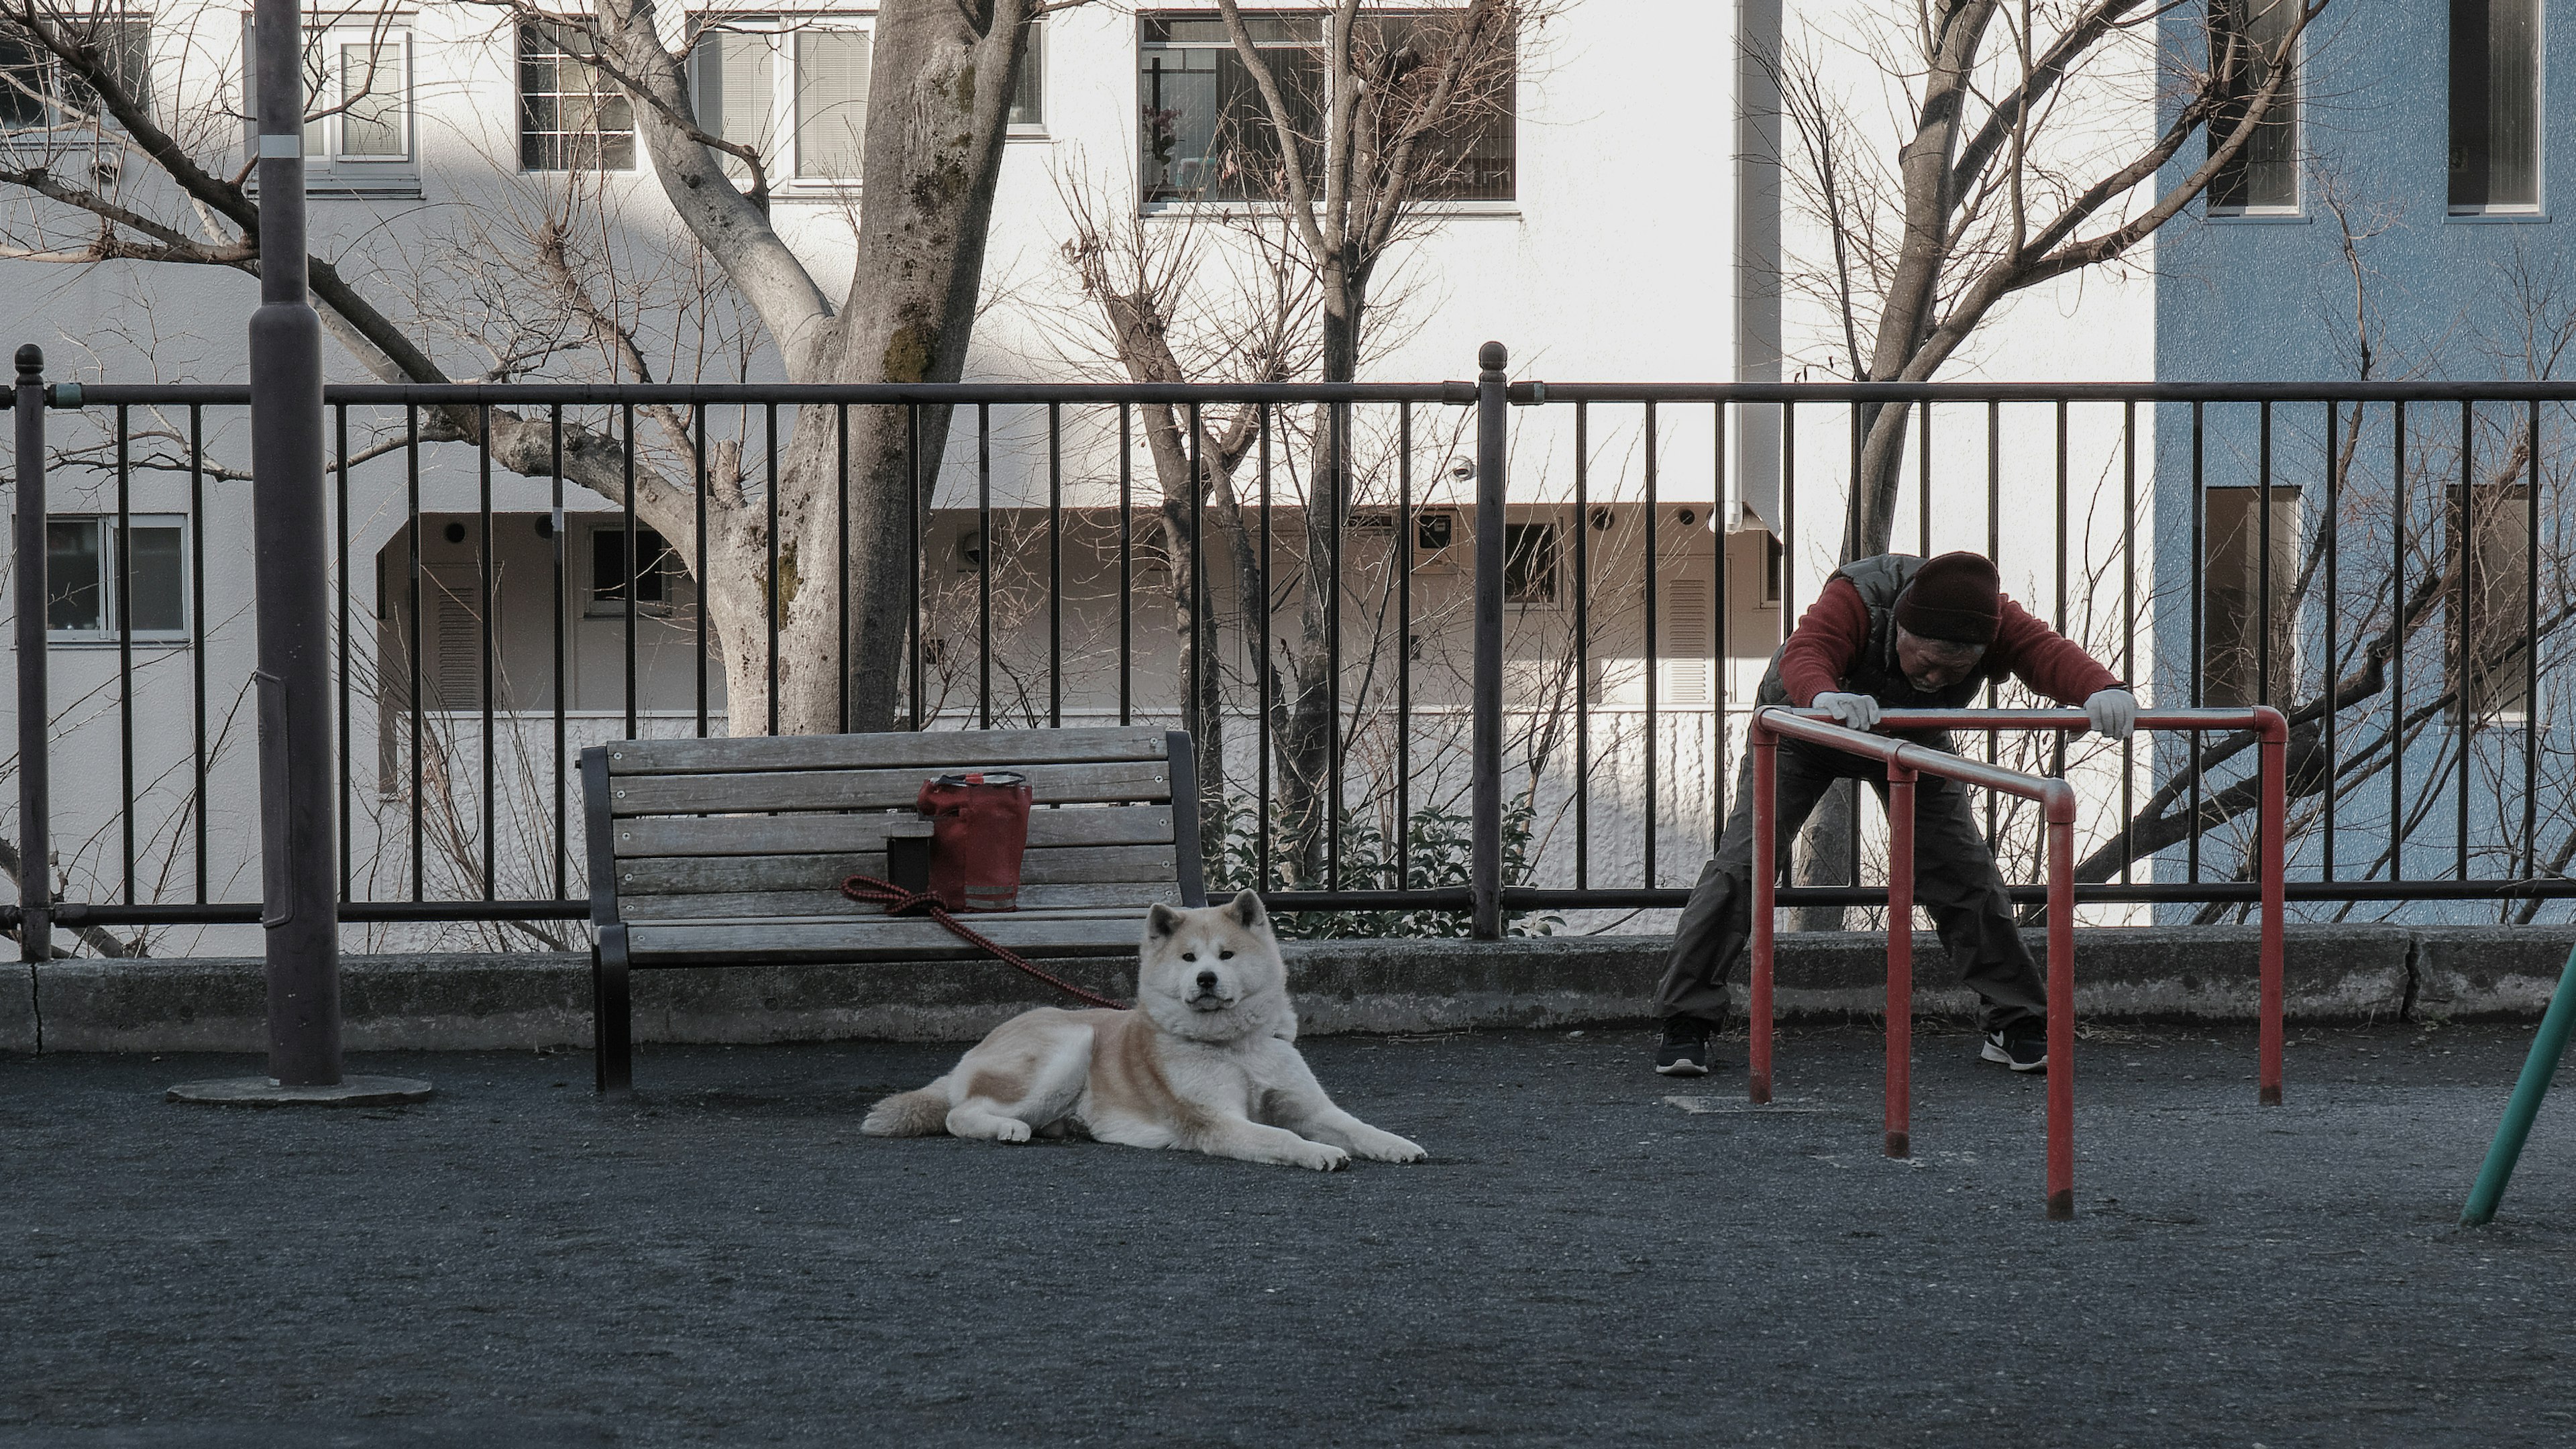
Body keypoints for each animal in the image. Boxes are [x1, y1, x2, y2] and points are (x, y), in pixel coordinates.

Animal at [865, 887, 1432, 1165]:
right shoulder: (1218, 1122)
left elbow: (1357, 1126)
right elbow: (1284, 1139)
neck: (1234, 1047)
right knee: (960, 1114)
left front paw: (1397, 1145)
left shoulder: (1308, 1107)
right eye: (1188, 958)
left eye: (1226, 955)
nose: (1206, 979)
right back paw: (1007, 1128)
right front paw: (1320, 1153)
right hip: (1070, 1046)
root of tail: (978, 1048)